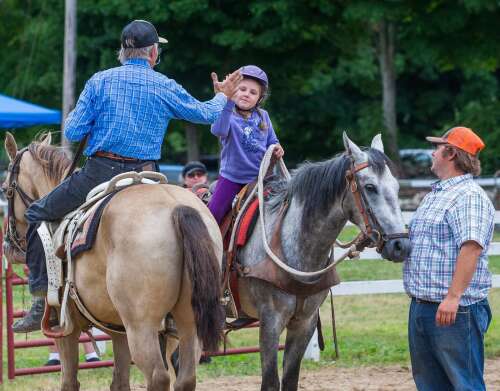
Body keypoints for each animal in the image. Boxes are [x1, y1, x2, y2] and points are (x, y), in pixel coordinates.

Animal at [1, 132, 225, 391]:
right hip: (188, 323)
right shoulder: (119, 330)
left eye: (5, 189)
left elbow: (70, 381)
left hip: (142, 326)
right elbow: (119, 381)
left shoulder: (66, 329)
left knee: (158, 376)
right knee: (185, 378)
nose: (8, 246)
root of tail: (176, 208)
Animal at [236, 133, 412, 390]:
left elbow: (290, 379)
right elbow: (270, 381)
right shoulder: (270, 322)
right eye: (370, 187)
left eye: (397, 187)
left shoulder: (304, 323)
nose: (401, 245)